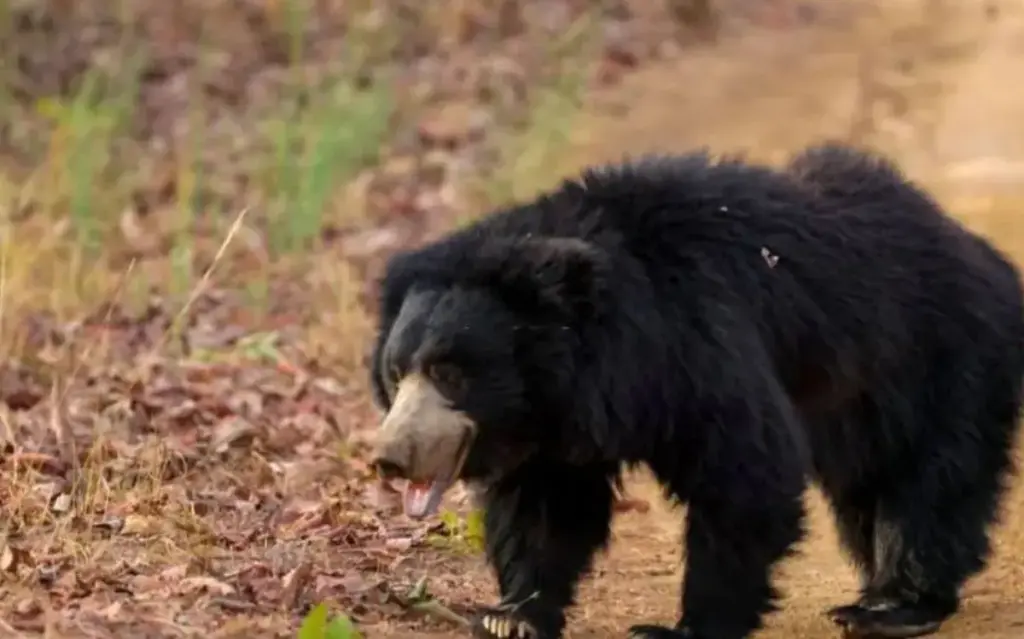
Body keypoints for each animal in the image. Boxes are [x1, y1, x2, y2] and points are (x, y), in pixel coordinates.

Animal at [367, 142, 1024, 639]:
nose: (389, 458)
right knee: (870, 491)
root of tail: (991, 262)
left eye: (450, 373)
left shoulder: (700, 343)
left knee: (929, 485)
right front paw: (511, 617)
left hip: (941, 365)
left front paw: (680, 629)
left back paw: (893, 606)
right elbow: (546, 507)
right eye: (397, 374)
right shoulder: (552, 425)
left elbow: (744, 474)